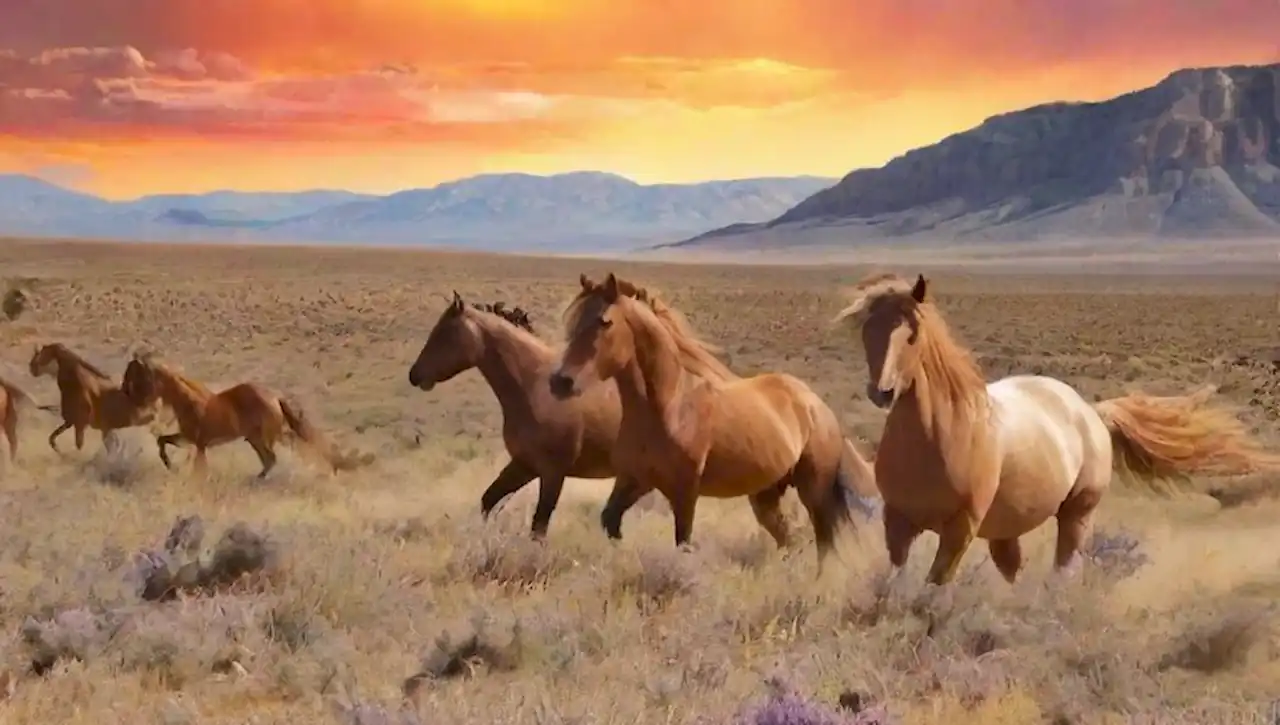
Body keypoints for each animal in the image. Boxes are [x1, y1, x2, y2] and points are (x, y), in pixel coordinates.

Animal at [28, 343, 157, 456]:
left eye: (43, 353)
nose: (31, 366)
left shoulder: (78, 423)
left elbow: (77, 445)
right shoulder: (72, 422)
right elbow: (52, 438)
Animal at [120, 350, 366, 479]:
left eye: (136, 373)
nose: (125, 393)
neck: (186, 399)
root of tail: (275, 398)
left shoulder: (196, 441)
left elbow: (198, 465)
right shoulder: (190, 439)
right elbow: (162, 441)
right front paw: (171, 466)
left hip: (260, 438)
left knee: (270, 459)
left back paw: (255, 481)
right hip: (255, 438)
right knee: (270, 459)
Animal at [407, 290, 627, 540]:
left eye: (444, 333)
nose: (414, 374)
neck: (534, 387)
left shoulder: (553, 473)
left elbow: (539, 526)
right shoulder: (524, 465)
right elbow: (488, 500)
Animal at [545, 270, 875, 571]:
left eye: (605, 322)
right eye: (572, 322)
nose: (560, 381)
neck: (669, 406)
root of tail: (816, 404)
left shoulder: (684, 491)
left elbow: (683, 541)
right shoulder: (635, 480)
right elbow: (610, 520)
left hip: (813, 490)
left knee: (824, 542)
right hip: (766, 495)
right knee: (789, 539)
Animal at [829, 275, 1280, 589]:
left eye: (912, 333)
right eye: (867, 332)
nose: (883, 391)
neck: (937, 437)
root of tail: (1090, 410)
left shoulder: (961, 529)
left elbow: (936, 584)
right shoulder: (897, 522)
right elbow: (898, 579)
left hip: (1076, 514)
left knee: (1064, 570)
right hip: (1007, 528)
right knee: (1015, 571)